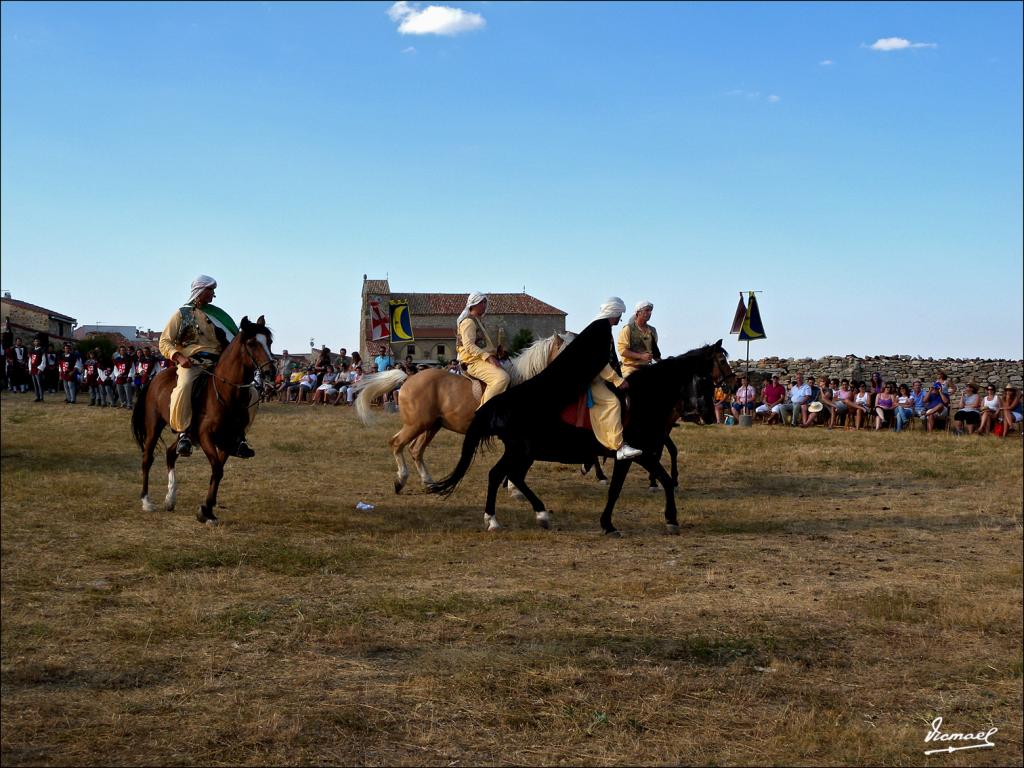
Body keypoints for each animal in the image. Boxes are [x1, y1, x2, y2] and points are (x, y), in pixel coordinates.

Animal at [131, 315, 276, 528]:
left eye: (269, 342)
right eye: (251, 343)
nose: (270, 373)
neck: (226, 393)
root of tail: (154, 378)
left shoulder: (228, 441)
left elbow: (218, 471)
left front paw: (208, 510)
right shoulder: (206, 436)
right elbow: (216, 468)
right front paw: (205, 510)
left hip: (186, 435)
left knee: (171, 453)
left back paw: (170, 499)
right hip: (154, 426)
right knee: (147, 458)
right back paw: (146, 501)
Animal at [352, 333, 577, 495]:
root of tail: (409, 377)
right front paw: (515, 488)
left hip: (431, 426)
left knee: (416, 450)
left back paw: (429, 483)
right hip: (417, 424)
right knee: (397, 444)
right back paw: (401, 480)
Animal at [428, 339, 724, 536]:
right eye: (705, 379)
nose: (710, 416)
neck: (642, 399)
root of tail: (499, 400)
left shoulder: (643, 454)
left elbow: (662, 479)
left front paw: (671, 519)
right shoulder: (631, 454)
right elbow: (618, 488)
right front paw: (609, 524)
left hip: (523, 452)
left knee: (505, 475)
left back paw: (512, 517)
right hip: (521, 450)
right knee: (504, 475)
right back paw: (521, 515)